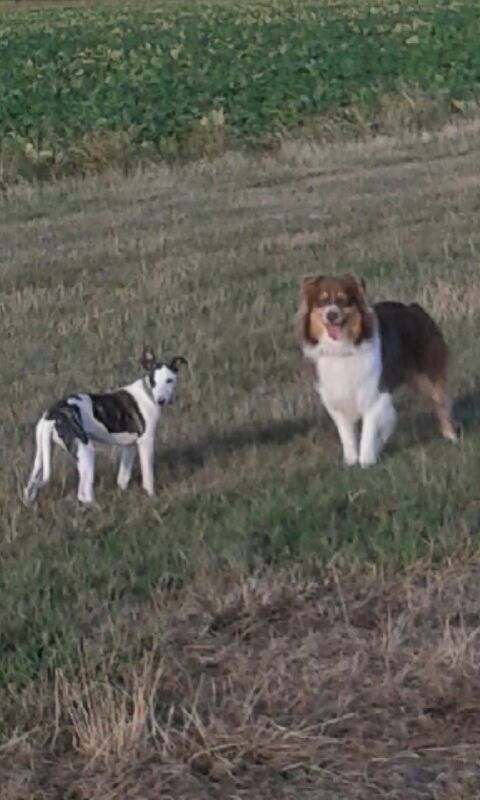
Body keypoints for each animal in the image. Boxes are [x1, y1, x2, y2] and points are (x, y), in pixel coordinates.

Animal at [23, 346, 188, 506]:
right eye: (153, 381)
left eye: (169, 380)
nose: (161, 401)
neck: (147, 393)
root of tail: (53, 415)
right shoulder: (145, 442)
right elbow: (148, 477)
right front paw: (151, 497)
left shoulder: (129, 447)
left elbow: (122, 478)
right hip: (86, 452)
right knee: (83, 493)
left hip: (42, 457)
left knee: (30, 486)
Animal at [300, 274, 458, 466]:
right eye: (321, 302)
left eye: (343, 300)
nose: (331, 315)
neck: (343, 348)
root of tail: (414, 307)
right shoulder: (336, 398)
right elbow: (346, 434)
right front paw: (351, 461)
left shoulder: (374, 394)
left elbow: (368, 431)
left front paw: (366, 461)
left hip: (427, 376)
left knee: (440, 401)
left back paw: (451, 436)